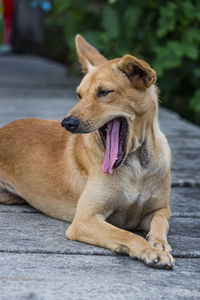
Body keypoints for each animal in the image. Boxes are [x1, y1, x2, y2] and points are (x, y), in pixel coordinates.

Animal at [0, 34, 175, 270]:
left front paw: (158, 243)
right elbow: (126, 235)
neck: (137, 164)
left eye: (104, 92)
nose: (67, 123)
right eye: (79, 95)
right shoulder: (85, 219)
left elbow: (160, 222)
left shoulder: (159, 209)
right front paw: (150, 251)